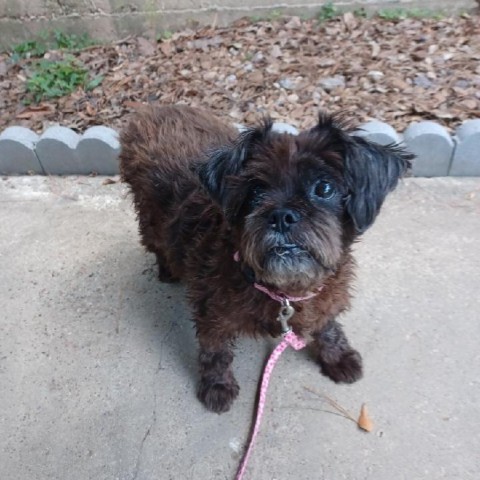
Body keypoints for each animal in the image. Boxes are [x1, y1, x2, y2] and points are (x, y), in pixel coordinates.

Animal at [119, 105, 412, 412]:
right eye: (256, 191)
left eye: (324, 188)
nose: (282, 216)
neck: (285, 290)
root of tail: (157, 109)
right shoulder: (211, 313)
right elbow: (215, 350)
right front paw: (217, 385)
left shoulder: (325, 295)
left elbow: (327, 324)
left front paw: (336, 354)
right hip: (150, 219)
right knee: (155, 243)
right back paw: (167, 269)